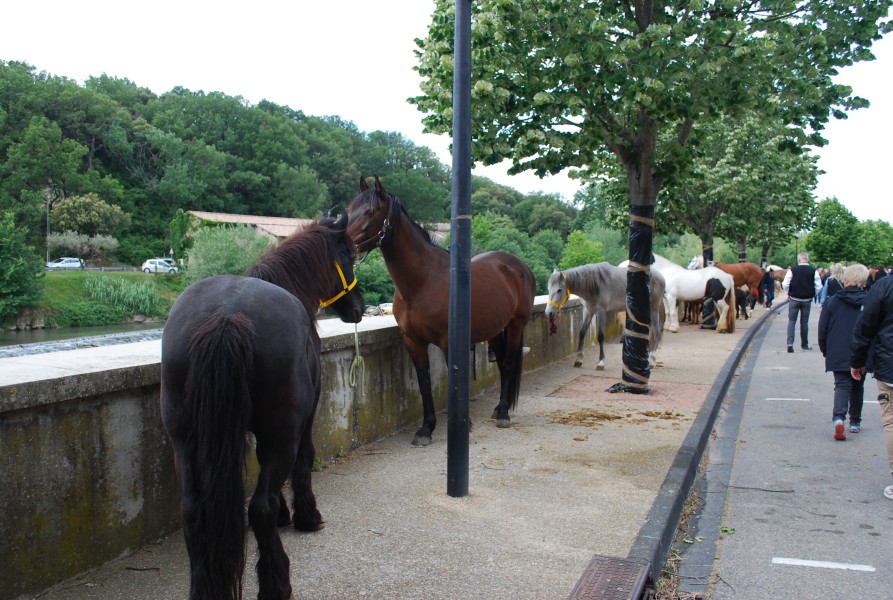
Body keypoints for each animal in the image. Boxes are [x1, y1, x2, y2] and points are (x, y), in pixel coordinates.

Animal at [162, 214, 364, 600]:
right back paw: (277, 582)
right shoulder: (304, 421)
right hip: (282, 435)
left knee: (193, 510)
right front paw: (304, 515)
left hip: (184, 439)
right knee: (260, 507)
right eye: (348, 255)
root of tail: (227, 318)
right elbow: (304, 460)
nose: (360, 307)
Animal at [344, 173, 532, 446]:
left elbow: (454, 382)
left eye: (369, 211)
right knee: (502, 365)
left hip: (516, 325)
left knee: (507, 363)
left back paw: (504, 414)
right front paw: (426, 429)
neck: (423, 281)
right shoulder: (413, 341)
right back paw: (499, 408)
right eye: (349, 211)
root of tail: (518, 266)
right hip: (496, 330)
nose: (343, 246)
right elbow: (424, 382)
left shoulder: (448, 342)